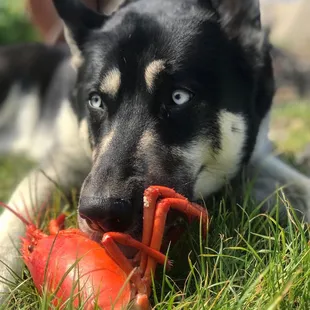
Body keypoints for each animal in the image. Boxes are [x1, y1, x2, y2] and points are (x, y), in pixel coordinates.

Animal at [0, 0, 310, 302]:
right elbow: (15, 219)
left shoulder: (256, 158)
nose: (99, 214)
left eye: (179, 97)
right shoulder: (60, 163)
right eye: (96, 101)